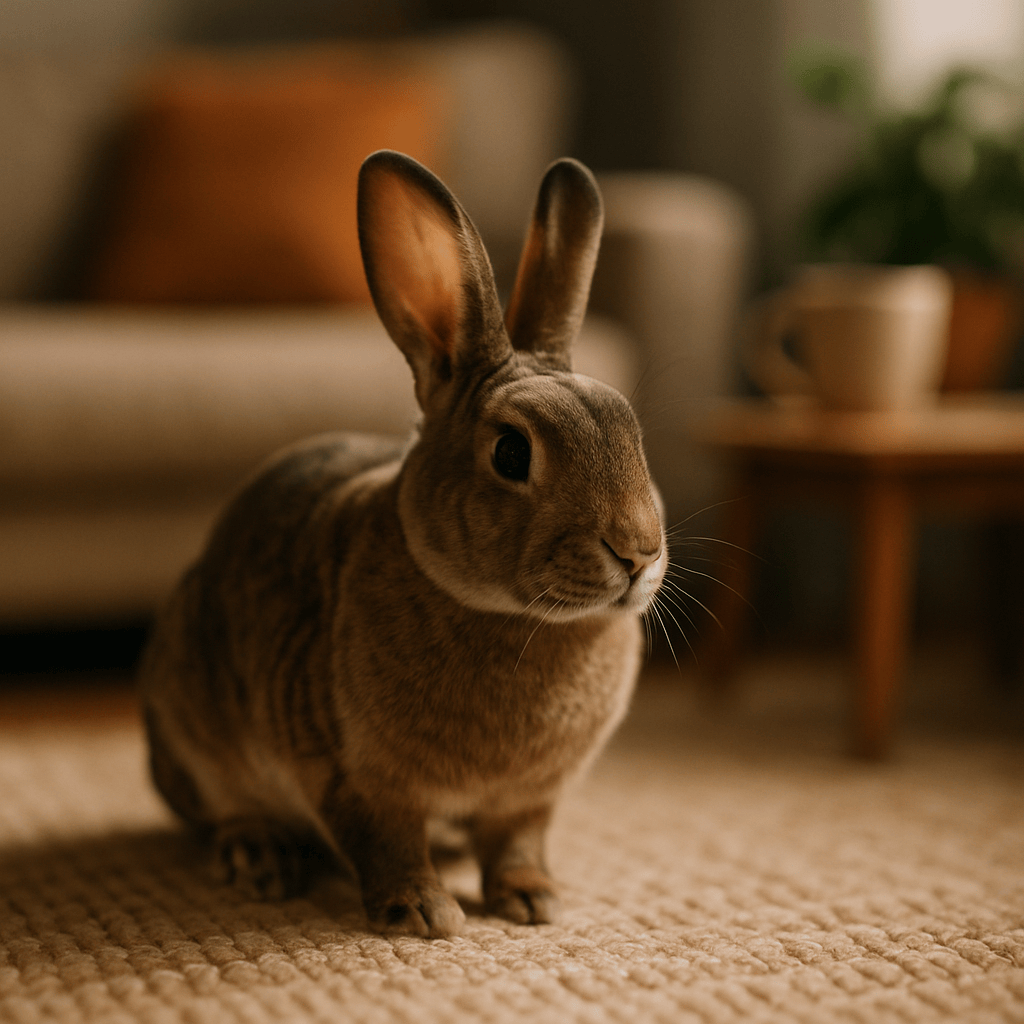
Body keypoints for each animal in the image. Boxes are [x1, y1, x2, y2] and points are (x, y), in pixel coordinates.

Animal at [139, 149, 667, 939]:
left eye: (633, 432)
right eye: (512, 453)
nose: (637, 553)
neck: (516, 620)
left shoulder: (529, 800)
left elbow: (518, 841)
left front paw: (533, 900)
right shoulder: (356, 777)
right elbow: (385, 841)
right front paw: (422, 913)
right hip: (193, 721)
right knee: (220, 810)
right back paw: (260, 859)